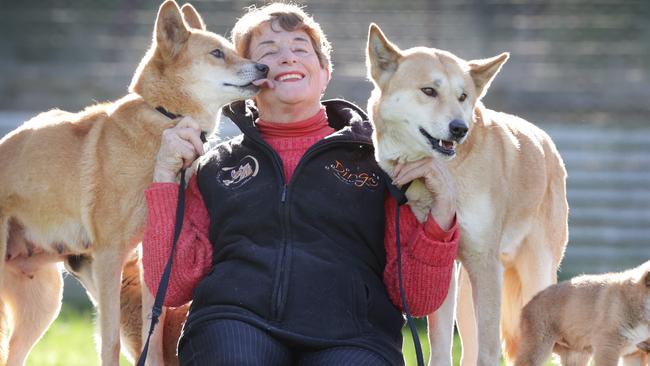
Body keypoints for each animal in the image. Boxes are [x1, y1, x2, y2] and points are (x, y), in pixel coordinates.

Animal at [0, 1, 266, 364]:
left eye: (234, 51)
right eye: (217, 53)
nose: (264, 67)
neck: (165, 118)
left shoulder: (153, 260)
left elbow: (151, 336)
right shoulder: (109, 255)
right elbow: (111, 341)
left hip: (42, 302)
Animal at [364, 23, 568, 366]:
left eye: (463, 97)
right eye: (429, 91)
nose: (459, 128)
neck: (451, 172)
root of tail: (547, 143)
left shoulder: (485, 265)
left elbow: (489, 351)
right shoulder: (445, 271)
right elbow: (441, 346)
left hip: (535, 276)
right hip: (466, 294)